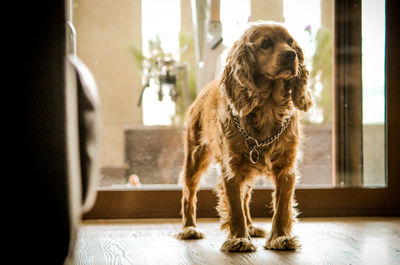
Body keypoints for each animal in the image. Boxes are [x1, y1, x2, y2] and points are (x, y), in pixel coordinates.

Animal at [175, 21, 312, 251]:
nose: (291, 54)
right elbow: (235, 207)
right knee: (188, 193)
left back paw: (251, 227)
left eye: (290, 41)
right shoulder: (232, 169)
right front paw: (239, 238)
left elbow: (282, 206)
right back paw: (189, 228)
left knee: (246, 196)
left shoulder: (285, 168)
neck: (268, 109)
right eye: (266, 43)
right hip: (195, 158)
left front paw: (280, 237)